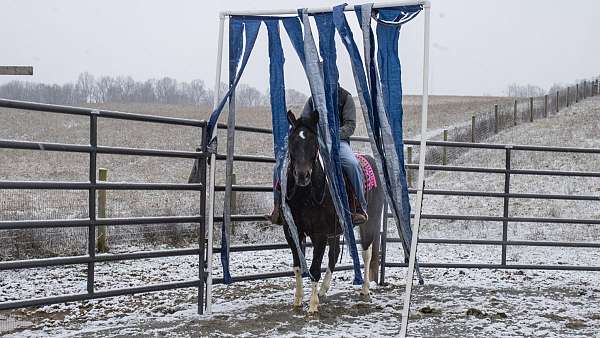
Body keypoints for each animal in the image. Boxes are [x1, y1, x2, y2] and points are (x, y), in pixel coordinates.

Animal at [282, 109, 384, 314]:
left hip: (370, 222)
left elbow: (314, 269)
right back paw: (323, 290)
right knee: (335, 253)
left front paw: (312, 306)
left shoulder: (320, 234)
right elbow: (297, 266)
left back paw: (365, 289)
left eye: (314, 143)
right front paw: (298, 300)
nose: (302, 175)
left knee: (366, 253)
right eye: (292, 141)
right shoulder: (292, 232)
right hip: (337, 229)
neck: (306, 195)